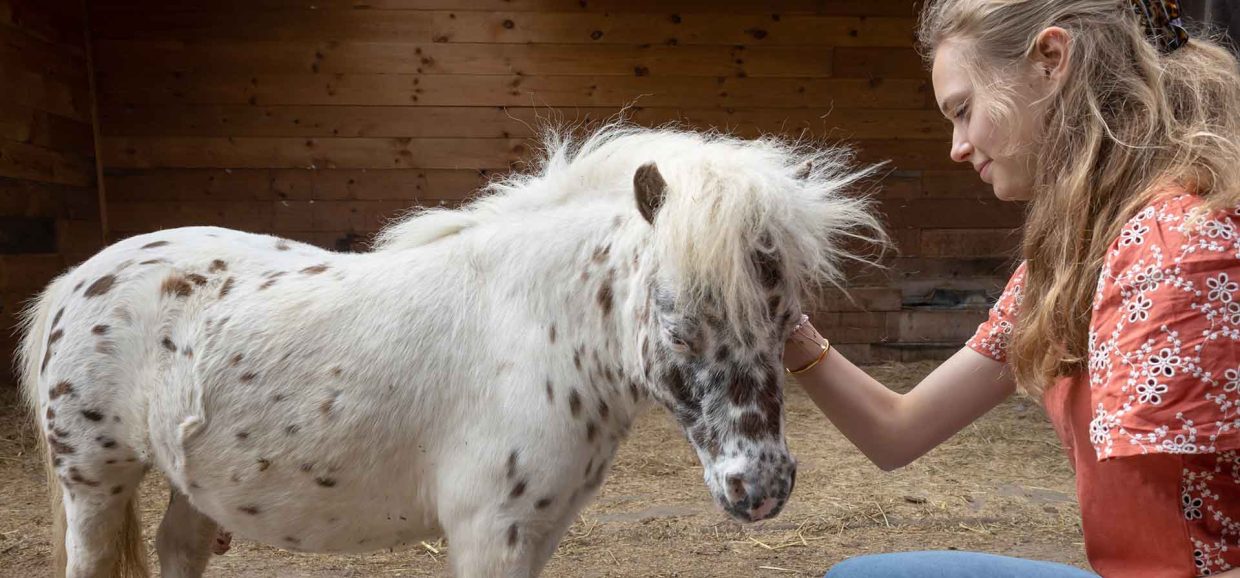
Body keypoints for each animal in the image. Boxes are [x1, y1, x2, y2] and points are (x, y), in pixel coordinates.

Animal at [21, 124, 892, 575]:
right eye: (679, 328)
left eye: (785, 319)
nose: (763, 489)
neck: (534, 333)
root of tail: (74, 282)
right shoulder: (488, 533)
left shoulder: (536, 533)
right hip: (93, 484)